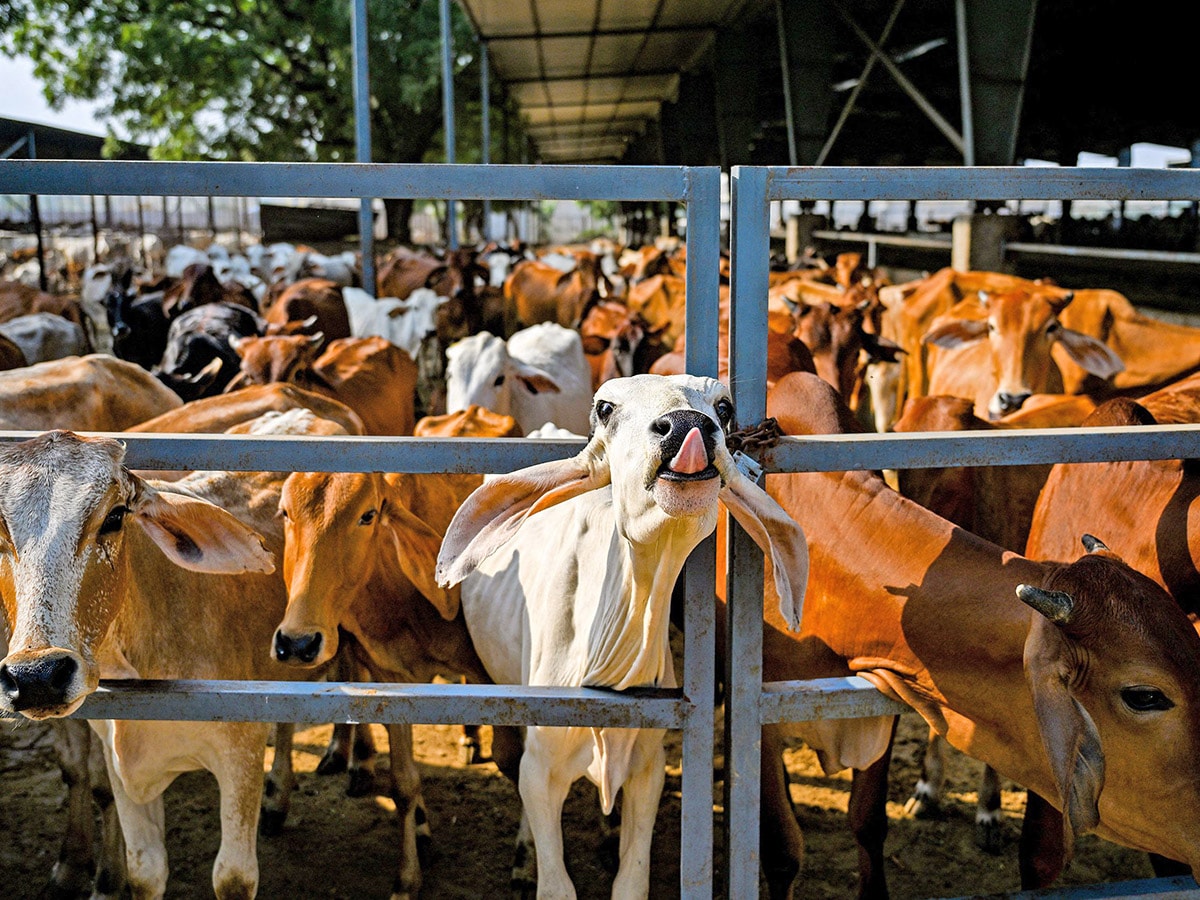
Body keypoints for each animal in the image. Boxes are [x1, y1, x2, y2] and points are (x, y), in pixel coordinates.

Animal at [436, 374, 811, 900]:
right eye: (605, 407)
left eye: (723, 406)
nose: (688, 425)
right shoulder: (541, 769)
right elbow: (556, 883)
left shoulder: (647, 771)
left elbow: (630, 882)